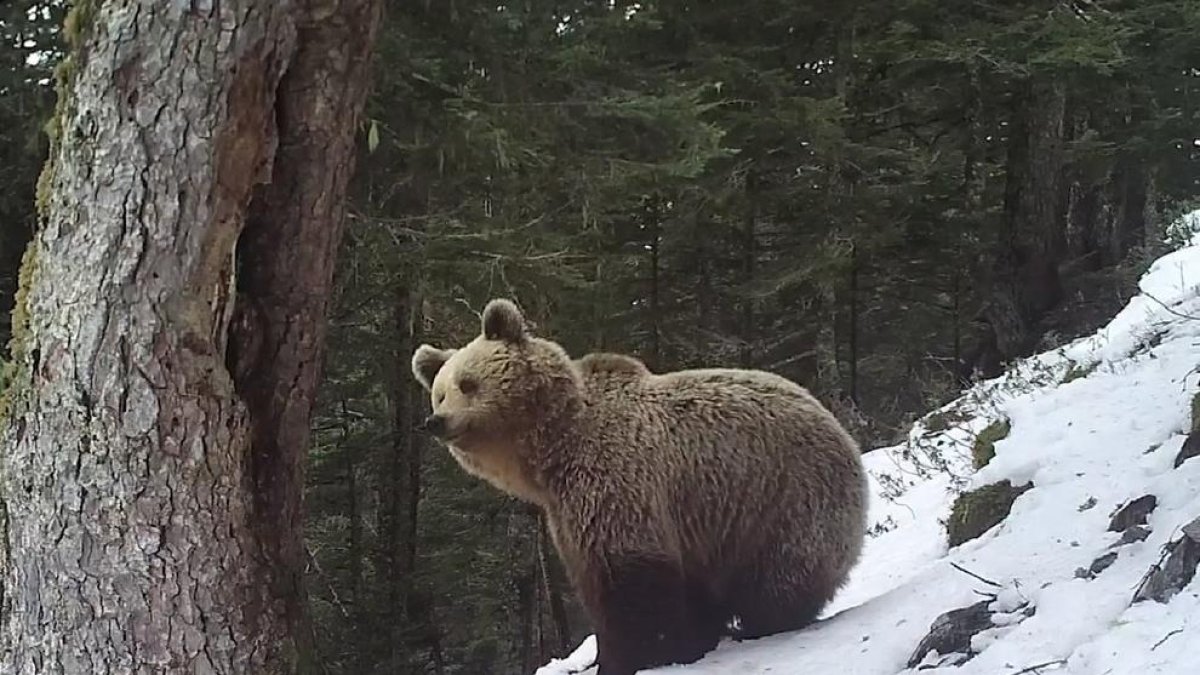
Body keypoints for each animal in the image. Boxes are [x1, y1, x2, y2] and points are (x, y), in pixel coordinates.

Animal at [412, 299, 864, 672]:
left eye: (468, 383)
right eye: (439, 393)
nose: (436, 421)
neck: (553, 448)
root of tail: (844, 434)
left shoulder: (616, 477)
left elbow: (628, 577)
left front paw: (635, 654)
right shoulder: (568, 508)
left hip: (780, 498)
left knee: (777, 577)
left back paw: (756, 624)